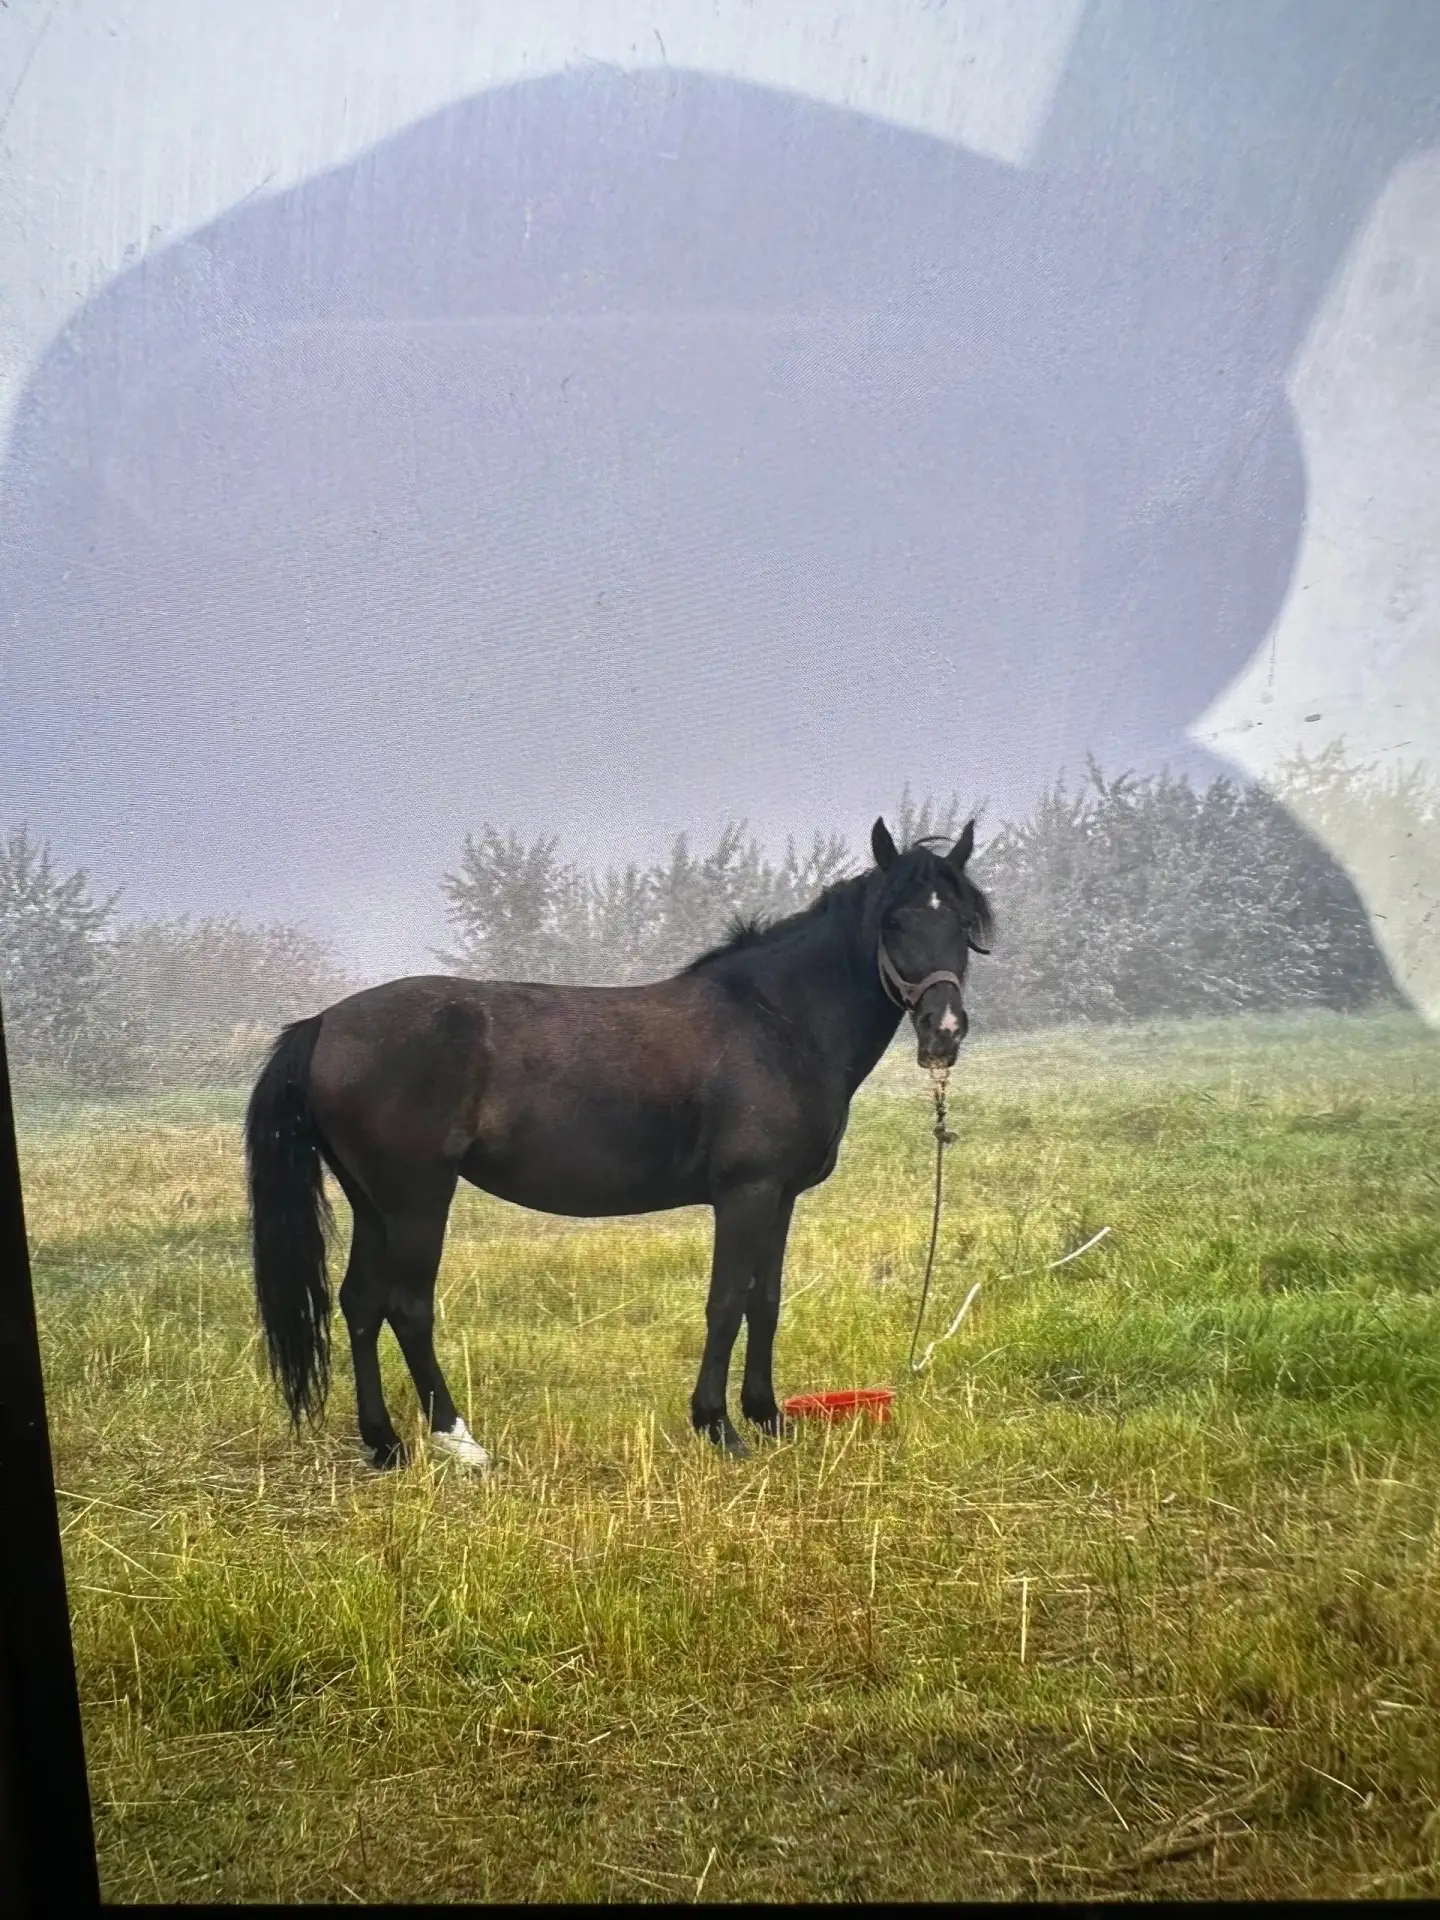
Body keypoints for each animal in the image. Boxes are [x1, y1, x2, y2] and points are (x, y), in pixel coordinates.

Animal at [243, 816, 993, 1469]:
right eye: (894, 921)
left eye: (960, 924)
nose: (944, 1029)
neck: (775, 1022)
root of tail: (324, 1025)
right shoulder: (745, 1194)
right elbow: (726, 1302)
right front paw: (718, 1427)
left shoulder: (780, 1197)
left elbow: (765, 1301)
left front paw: (768, 1416)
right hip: (417, 1202)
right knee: (406, 1306)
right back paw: (461, 1443)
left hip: (374, 1204)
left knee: (360, 1304)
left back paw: (385, 1444)